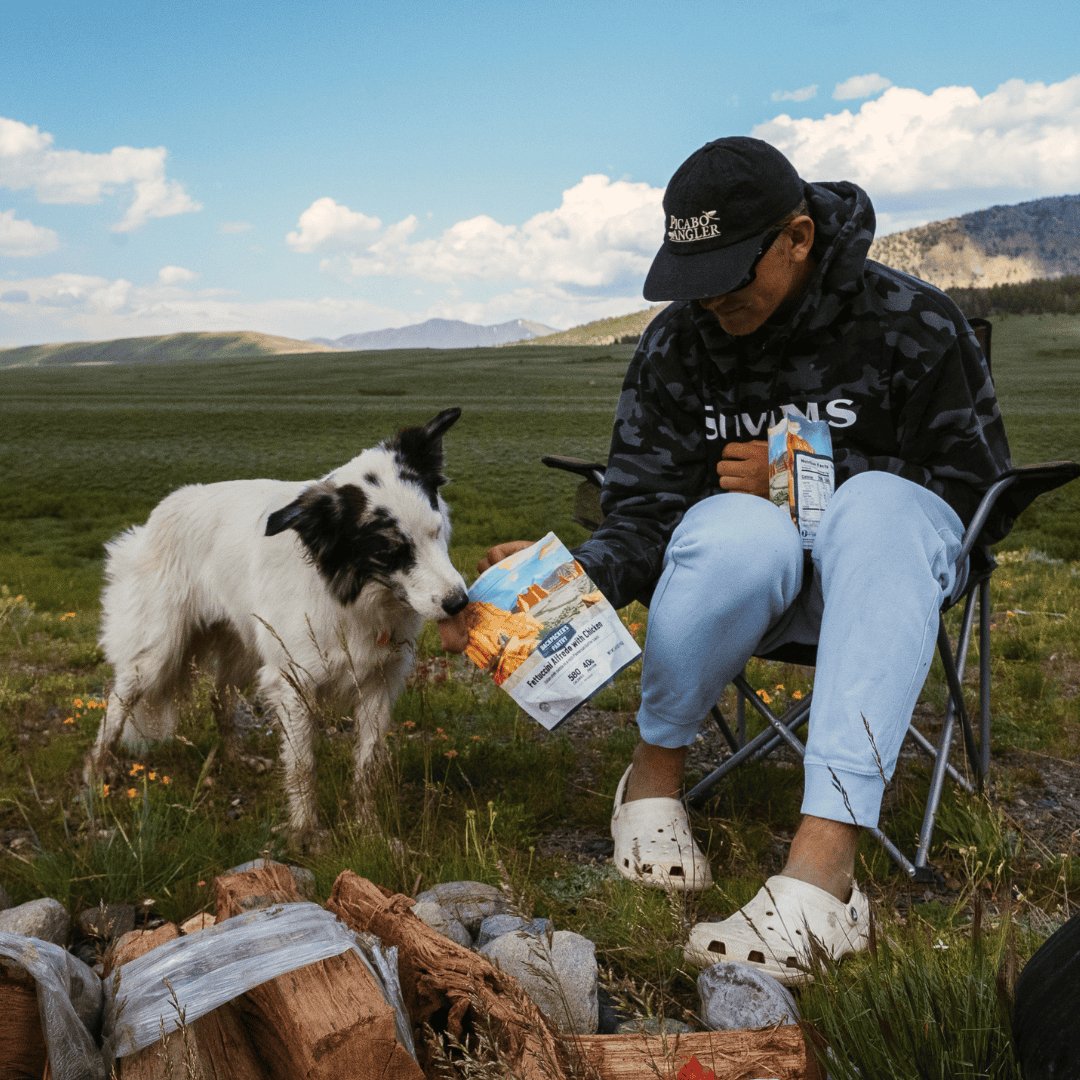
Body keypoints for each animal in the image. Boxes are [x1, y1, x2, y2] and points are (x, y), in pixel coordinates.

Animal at [85, 406, 468, 833]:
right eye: (390, 551)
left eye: (437, 531)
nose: (459, 602)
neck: (352, 597)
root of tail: (161, 511)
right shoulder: (294, 683)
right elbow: (303, 765)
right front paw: (306, 833)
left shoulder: (379, 680)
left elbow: (367, 766)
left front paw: (368, 828)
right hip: (157, 651)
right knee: (118, 700)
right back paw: (98, 770)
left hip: (242, 648)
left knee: (219, 697)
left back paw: (237, 758)